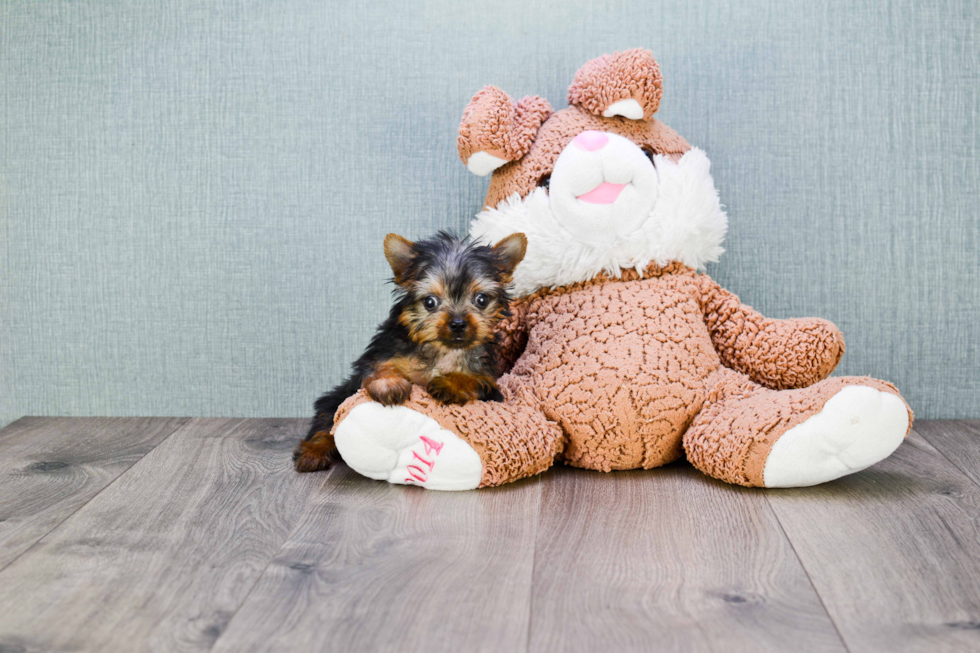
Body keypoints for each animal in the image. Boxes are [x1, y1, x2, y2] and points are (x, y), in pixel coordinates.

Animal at [292, 232, 528, 472]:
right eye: (430, 302)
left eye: (481, 299)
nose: (458, 323)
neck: (444, 350)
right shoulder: (384, 353)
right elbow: (379, 366)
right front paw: (389, 384)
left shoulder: (488, 382)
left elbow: (473, 379)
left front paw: (450, 384)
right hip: (337, 397)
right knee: (326, 421)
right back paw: (313, 452)